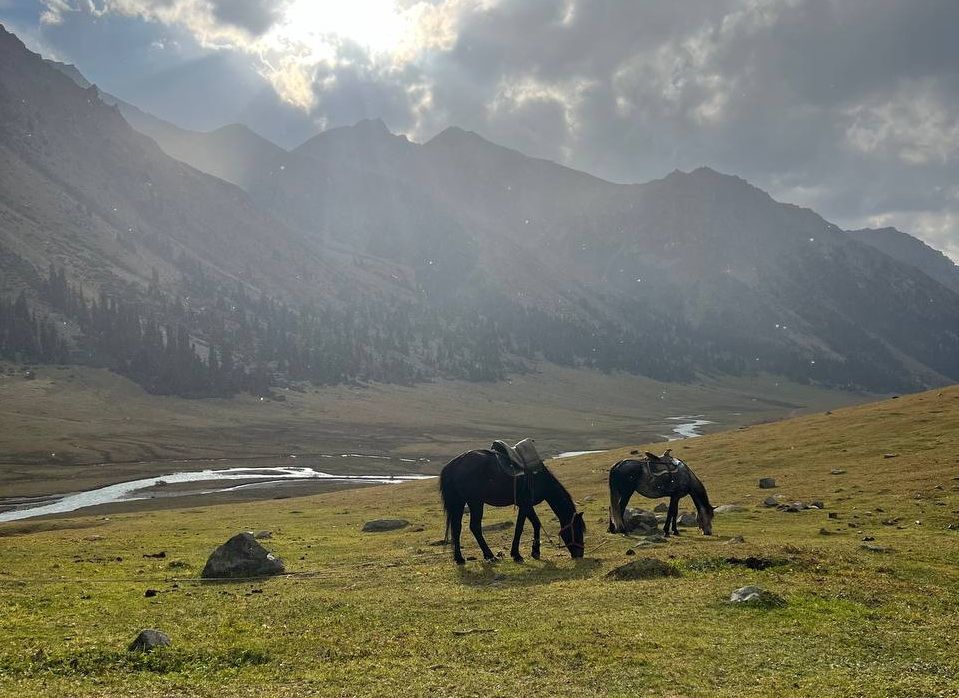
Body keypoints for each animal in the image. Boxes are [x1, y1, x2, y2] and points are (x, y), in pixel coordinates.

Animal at [439, 449, 586, 564]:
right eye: (577, 529)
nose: (580, 554)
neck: (540, 479)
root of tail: (454, 464)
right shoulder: (524, 504)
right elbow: (519, 528)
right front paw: (516, 554)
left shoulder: (527, 505)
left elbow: (536, 523)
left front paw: (535, 551)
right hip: (475, 502)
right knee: (474, 527)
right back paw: (489, 555)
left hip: (459, 502)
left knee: (457, 528)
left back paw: (459, 558)